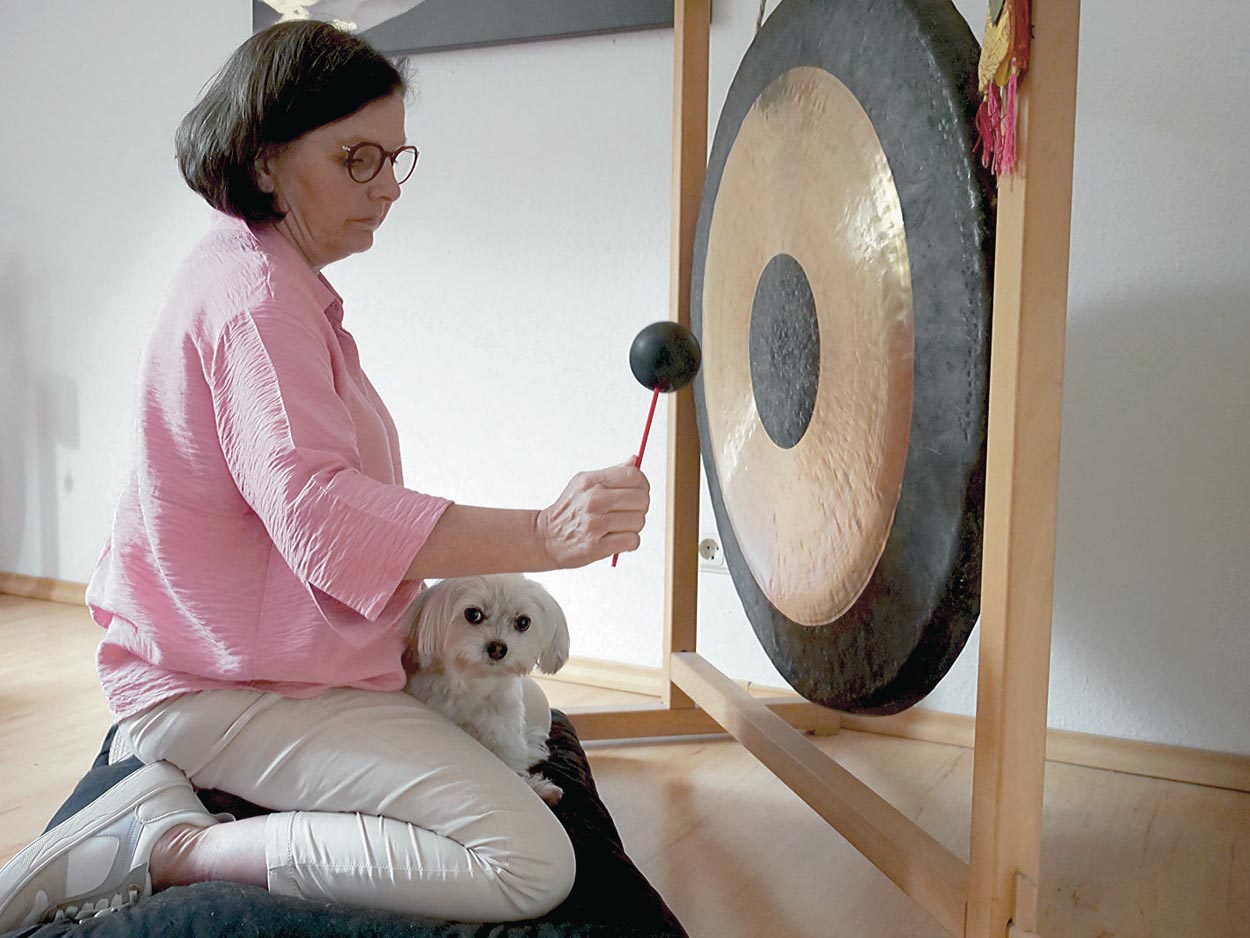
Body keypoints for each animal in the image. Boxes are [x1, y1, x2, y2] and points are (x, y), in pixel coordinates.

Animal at [402, 577, 570, 805]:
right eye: (473, 614)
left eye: (523, 622)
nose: (497, 648)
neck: (477, 682)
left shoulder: (504, 733)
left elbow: (510, 764)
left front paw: (534, 787)